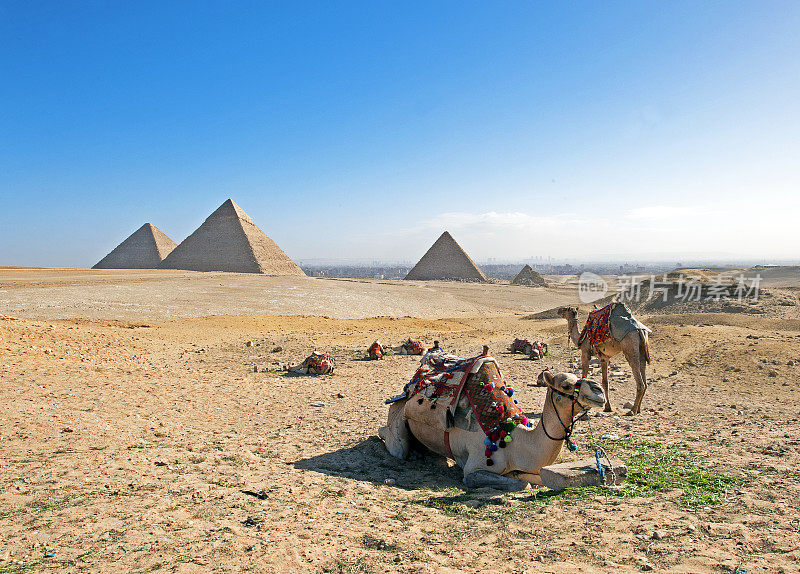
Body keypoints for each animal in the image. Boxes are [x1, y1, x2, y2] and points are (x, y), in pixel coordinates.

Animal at [378, 360, 604, 490]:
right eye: (565, 385)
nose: (599, 390)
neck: (514, 440)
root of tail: (405, 394)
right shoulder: (473, 469)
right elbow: (523, 484)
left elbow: (535, 478)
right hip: (397, 421)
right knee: (392, 442)